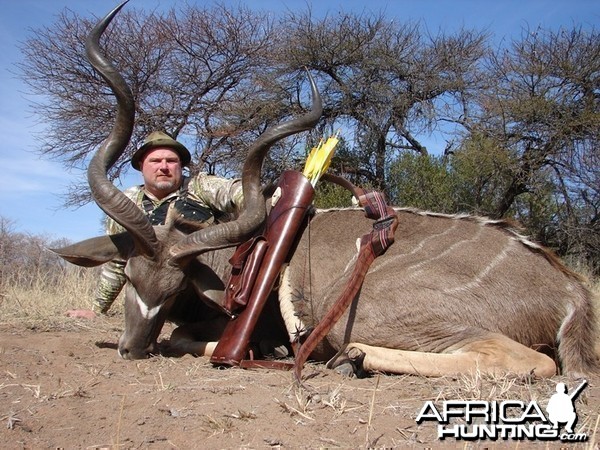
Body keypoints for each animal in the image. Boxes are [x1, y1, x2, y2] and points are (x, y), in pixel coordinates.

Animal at [54, 3, 596, 378]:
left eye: (171, 289)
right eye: (131, 278)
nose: (131, 349)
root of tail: (571, 291)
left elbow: (187, 339)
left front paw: (259, 350)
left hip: (370, 317)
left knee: (528, 360)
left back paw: (353, 357)